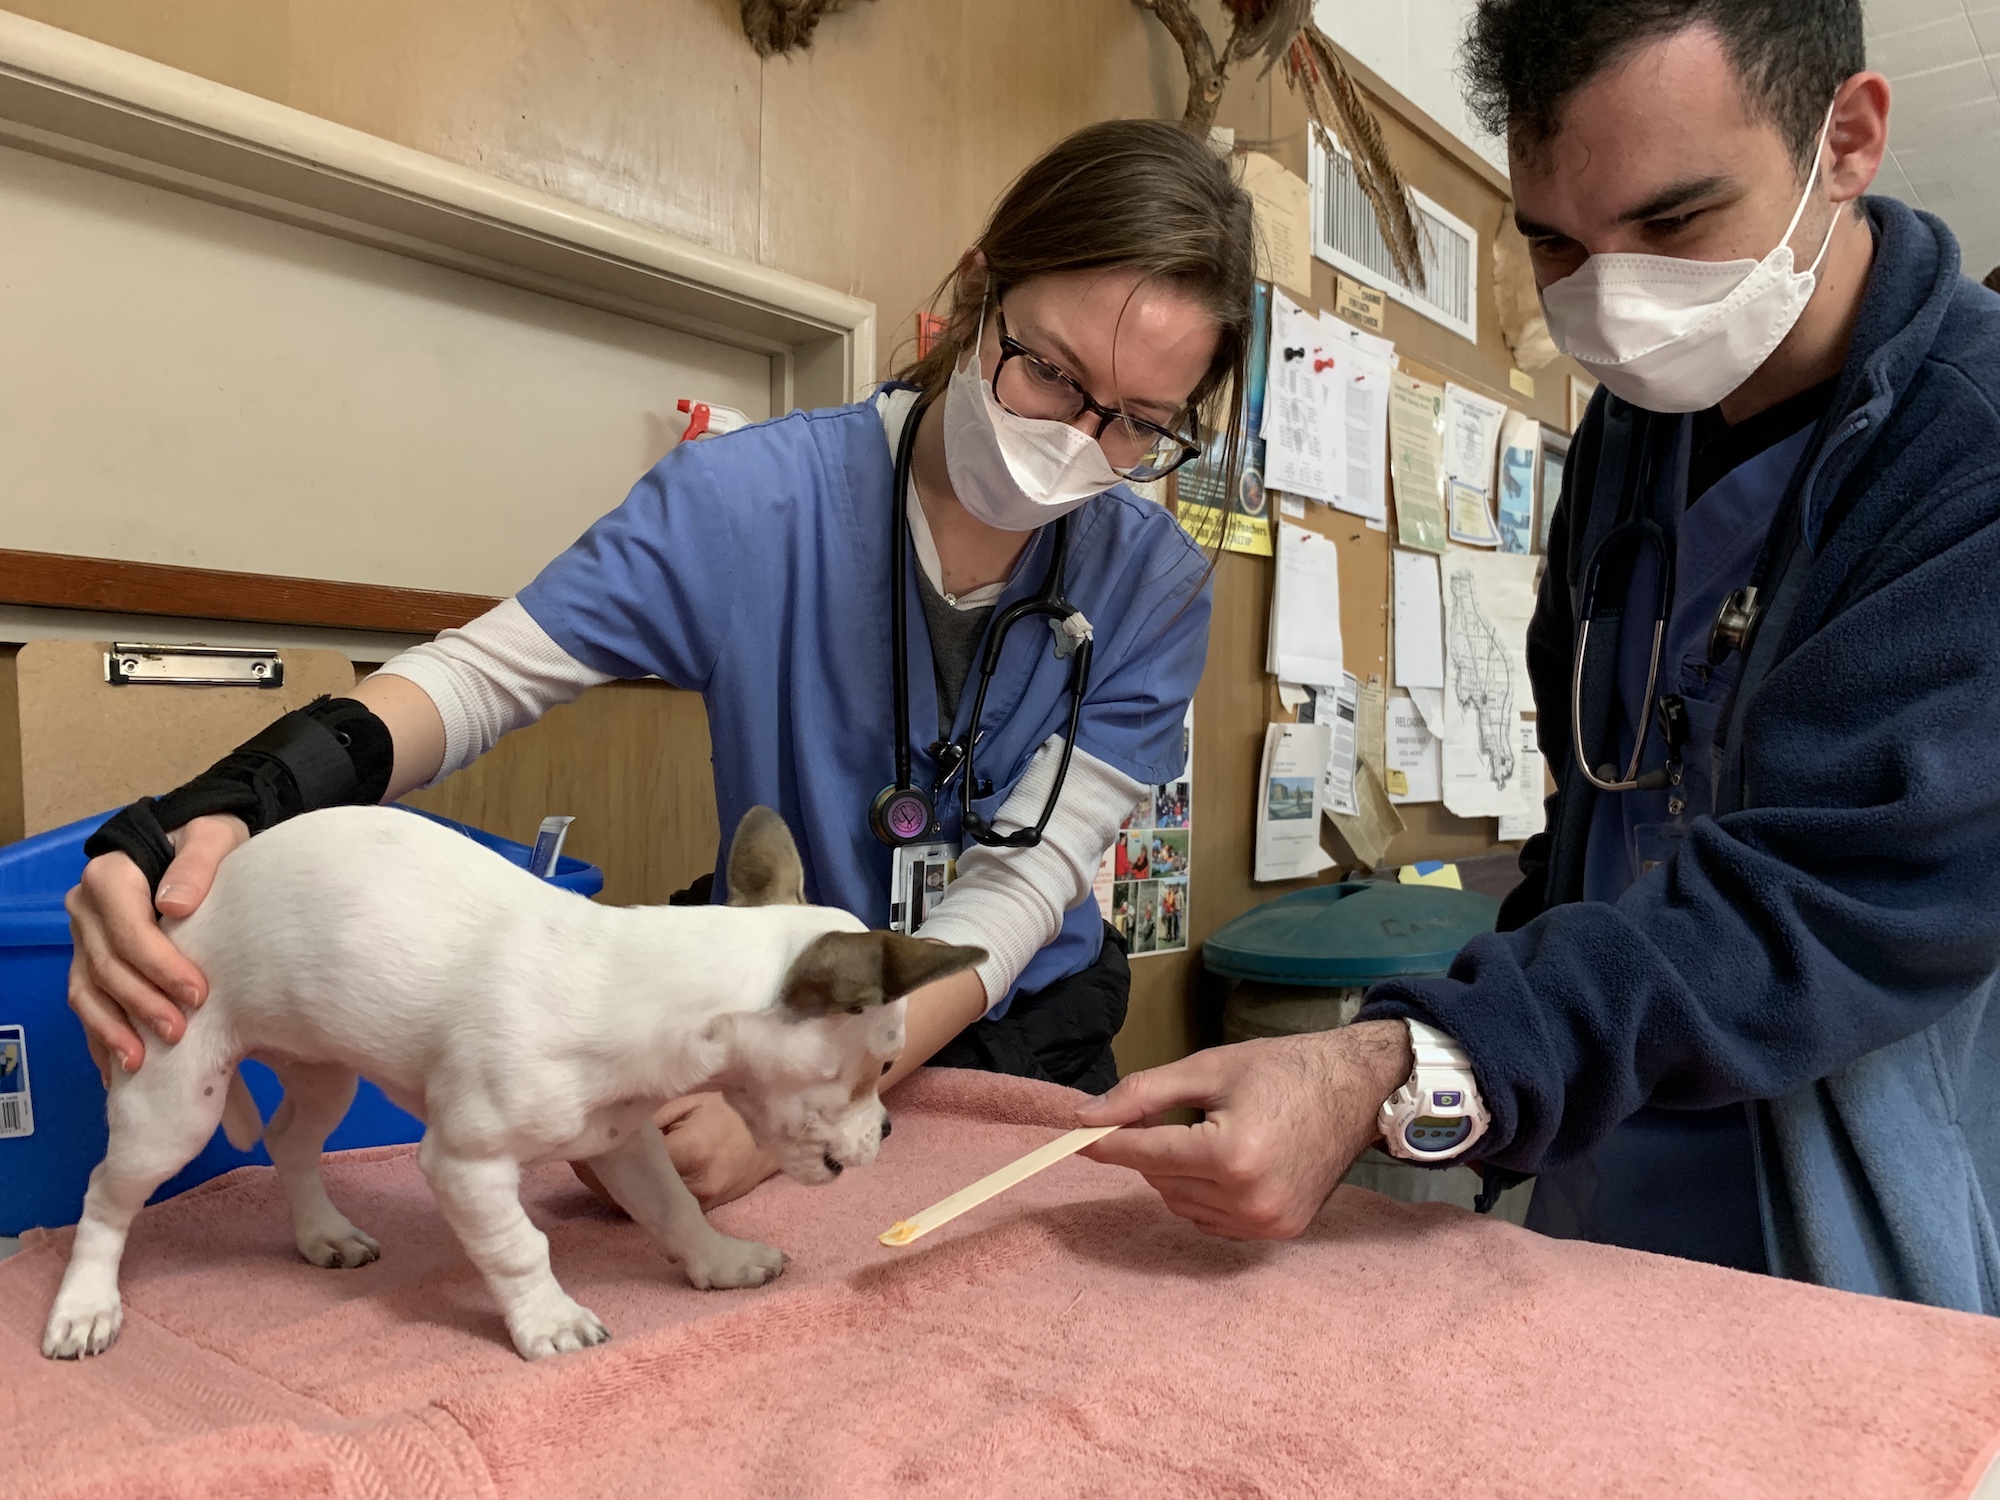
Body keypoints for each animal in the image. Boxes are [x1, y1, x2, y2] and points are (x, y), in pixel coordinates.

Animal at [43, 812, 980, 1360]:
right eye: (880, 1064)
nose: (888, 1131)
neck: (638, 991)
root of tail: (168, 911)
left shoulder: (627, 1140)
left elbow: (675, 1207)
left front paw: (717, 1261)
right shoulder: (465, 1165)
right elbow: (519, 1247)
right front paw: (549, 1321)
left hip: (324, 1073)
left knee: (288, 1142)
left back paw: (323, 1235)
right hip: (174, 1104)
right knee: (104, 1197)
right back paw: (85, 1304)